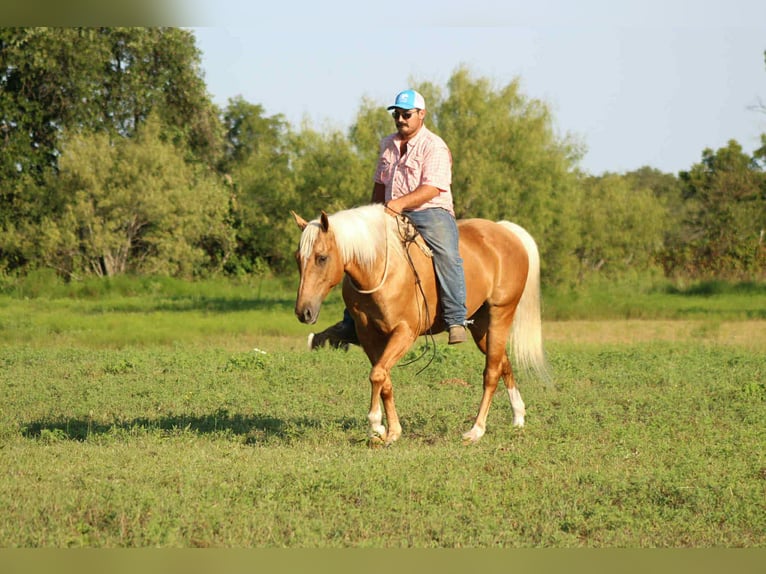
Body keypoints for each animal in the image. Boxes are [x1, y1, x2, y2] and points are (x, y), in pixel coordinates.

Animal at [291, 204, 549, 445]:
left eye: (322, 257)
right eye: (298, 258)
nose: (304, 312)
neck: (380, 269)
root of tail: (506, 231)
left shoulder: (405, 332)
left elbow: (377, 375)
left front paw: (375, 425)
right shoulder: (369, 335)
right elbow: (383, 377)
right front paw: (391, 431)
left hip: (501, 313)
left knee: (492, 372)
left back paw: (476, 430)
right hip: (481, 326)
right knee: (502, 361)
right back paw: (518, 417)